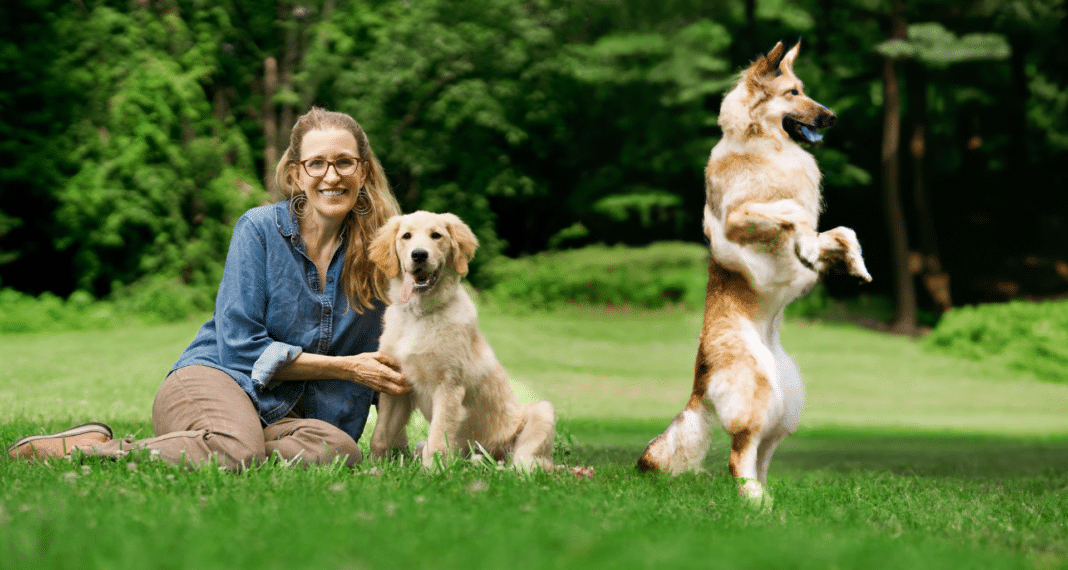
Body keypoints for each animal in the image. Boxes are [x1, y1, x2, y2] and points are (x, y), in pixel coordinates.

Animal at [369, 212, 559, 471]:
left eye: (436, 235)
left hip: (542, 412)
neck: (420, 315)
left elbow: (438, 438)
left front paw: (432, 474)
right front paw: (373, 469)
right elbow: (381, 435)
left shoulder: (449, 386)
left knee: (526, 461)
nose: (419, 254)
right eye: (406, 236)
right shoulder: (395, 385)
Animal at [636, 40, 871, 505]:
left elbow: (840, 231)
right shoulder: (735, 221)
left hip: (784, 403)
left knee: (759, 458)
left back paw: (769, 501)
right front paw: (805, 246)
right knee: (737, 458)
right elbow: (791, 211)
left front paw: (855, 265)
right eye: (793, 92)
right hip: (758, 394)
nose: (833, 117)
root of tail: (700, 380)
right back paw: (756, 503)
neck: (764, 146)